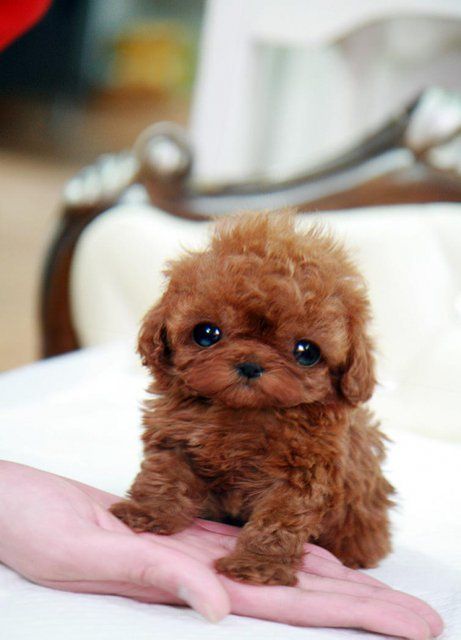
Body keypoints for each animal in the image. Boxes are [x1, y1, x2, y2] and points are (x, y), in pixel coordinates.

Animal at [110, 214, 392, 584]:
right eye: (207, 333)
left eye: (306, 352)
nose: (250, 364)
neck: (242, 412)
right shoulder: (175, 439)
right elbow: (164, 477)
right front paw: (147, 512)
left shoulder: (301, 476)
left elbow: (277, 522)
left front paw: (258, 565)